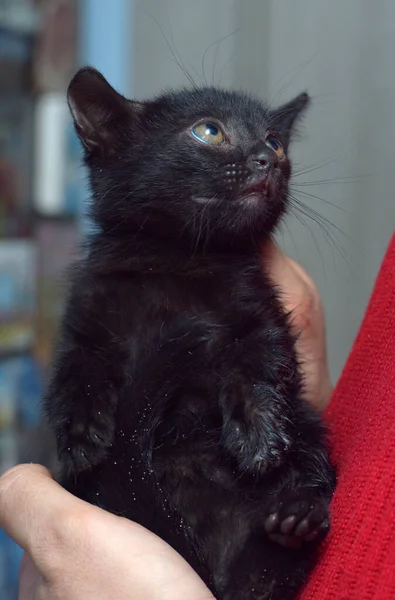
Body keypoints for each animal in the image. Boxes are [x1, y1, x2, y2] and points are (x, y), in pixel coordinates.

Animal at [44, 68, 336, 600]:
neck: (176, 260)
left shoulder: (259, 309)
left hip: (307, 425)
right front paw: (78, 433)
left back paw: (296, 516)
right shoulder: (89, 312)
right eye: (209, 131)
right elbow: (77, 366)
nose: (268, 160)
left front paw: (258, 434)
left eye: (275, 140)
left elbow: (262, 358)